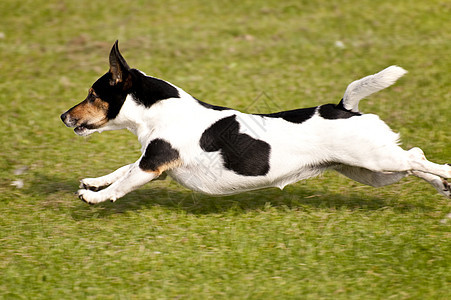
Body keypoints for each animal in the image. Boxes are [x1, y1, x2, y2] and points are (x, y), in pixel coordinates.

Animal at [61, 40, 451, 204]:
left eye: (92, 95)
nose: (64, 116)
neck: (159, 110)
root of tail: (345, 107)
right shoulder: (154, 163)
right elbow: (122, 169)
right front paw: (94, 181)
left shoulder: (152, 165)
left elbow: (125, 182)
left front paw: (94, 197)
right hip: (371, 171)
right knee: (415, 162)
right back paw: (442, 186)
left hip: (377, 161)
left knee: (418, 157)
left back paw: (447, 176)